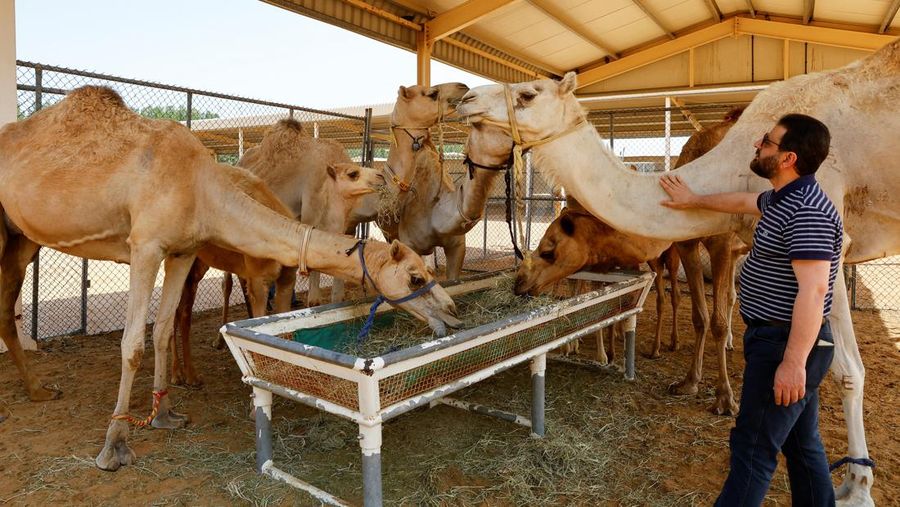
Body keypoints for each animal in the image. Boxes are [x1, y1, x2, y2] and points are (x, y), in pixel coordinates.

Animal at [0, 86, 460, 472]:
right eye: (415, 277)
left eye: (427, 270)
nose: (453, 311)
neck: (203, 189)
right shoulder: (145, 246)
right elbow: (132, 344)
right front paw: (115, 445)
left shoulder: (182, 250)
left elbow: (161, 329)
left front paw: (165, 415)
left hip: (22, 237)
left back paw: (39, 390)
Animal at [456, 38, 900, 505]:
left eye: (528, 93)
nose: (466, 97)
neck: (737, 169)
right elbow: (712, 318)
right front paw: (691, 382)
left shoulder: (827, 239)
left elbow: (847, 371)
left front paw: (856, 488)